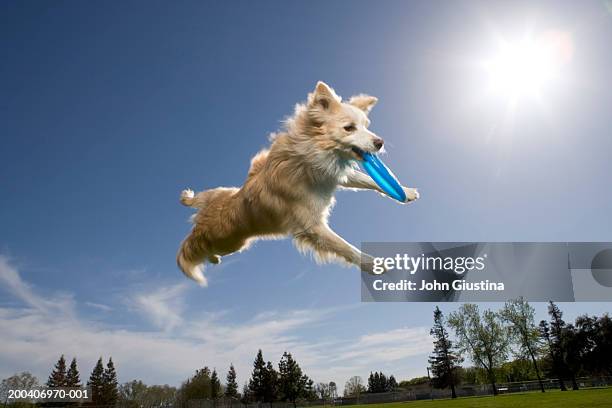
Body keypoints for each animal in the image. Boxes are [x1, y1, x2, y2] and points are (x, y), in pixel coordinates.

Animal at [175, 81, 418, 286]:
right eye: (349, 128)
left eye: (367, 126)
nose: (380, 142)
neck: (310, 157)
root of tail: (205, 212)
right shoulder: (313, 227)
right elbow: (346, 247)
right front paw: (373, 264)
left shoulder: (334, 173)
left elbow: (367, 179)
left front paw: (406, 192)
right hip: (227, 242)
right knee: (196, 247)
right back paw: (207, 255)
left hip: (223, 205)